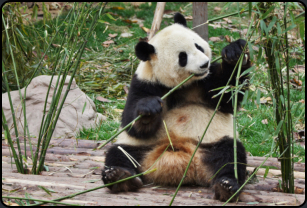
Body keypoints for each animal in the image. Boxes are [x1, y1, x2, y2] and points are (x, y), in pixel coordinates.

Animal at [102, 13, 251, 202]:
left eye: (198, 46)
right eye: (183, 57)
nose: (204, 64)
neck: (181, 85)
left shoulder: (206, 82)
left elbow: (227, 95)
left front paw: (234, 53)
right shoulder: (144, 83)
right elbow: (131, 122)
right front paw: (149, 108)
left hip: (212, 143)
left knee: (231, 156)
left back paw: (227, 186)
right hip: (140, 149)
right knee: (119, 153)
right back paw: (119, 177)